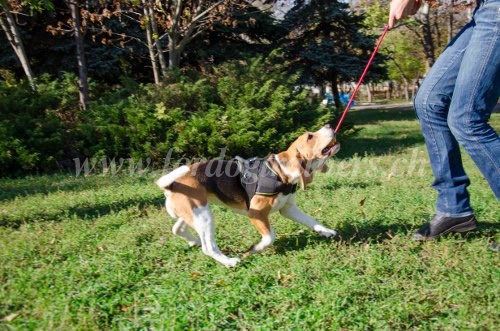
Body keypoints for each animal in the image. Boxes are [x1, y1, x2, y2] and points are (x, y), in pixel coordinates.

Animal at [157, 124, 340, 268]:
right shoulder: (256, 214)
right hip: (204, 216)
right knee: (208, 247)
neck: (280, 171)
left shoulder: (288, 209)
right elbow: (269, 237)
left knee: (177, 229)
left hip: (195, 211)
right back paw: (229, 261)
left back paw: (194, 241)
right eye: (310, 136)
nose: (330, 125)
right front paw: (255, 249)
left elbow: (312, 221)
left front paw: (326, 231)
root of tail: (170, 185)